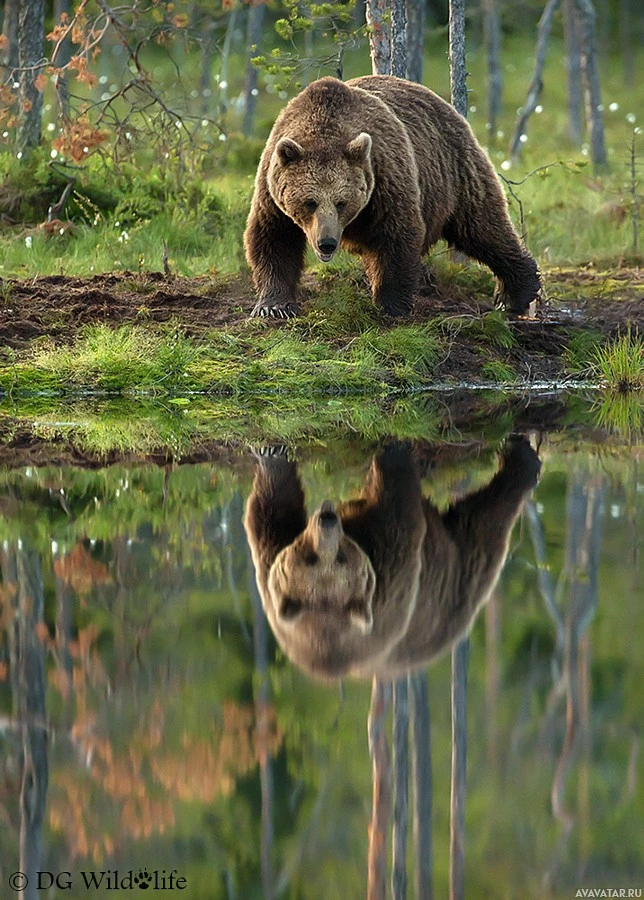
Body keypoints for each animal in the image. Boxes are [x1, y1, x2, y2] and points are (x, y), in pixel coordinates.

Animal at [244, 75, 540, 320]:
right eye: (310, 202)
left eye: (341, 202)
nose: (326, 243)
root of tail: (447, 106)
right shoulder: (271, 189)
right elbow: (273, 238)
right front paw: (274, 306)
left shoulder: (384, 176)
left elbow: (398, 234)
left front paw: (391, 304)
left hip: (455, 171)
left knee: (483, 228)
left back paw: (516, 293)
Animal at [244, 438, 540, 684]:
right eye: (312, 559)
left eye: (339, 558)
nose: (326, 521)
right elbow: (271, 513)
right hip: (455, 580)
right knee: (482, 524)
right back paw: (522, 462)